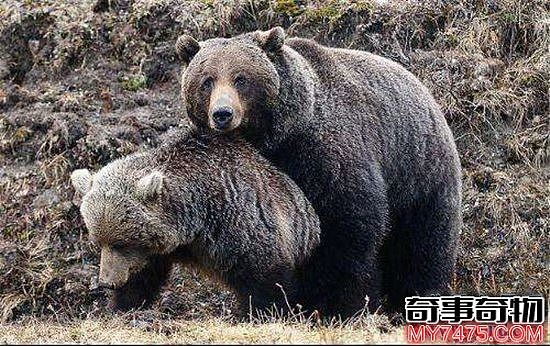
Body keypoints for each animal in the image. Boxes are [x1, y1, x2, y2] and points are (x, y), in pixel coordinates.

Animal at [179, 27, 464, 318]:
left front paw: (342, 303)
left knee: (423, 242)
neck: (280, 139)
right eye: (207, 81)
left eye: (241, 78)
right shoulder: (253, 172)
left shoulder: (328, 154)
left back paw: (421, 295)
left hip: (419, 171)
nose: (222, 114)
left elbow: (349, 224)